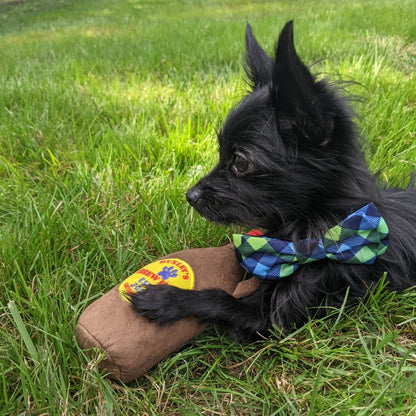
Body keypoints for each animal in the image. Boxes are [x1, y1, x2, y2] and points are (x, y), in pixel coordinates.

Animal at [131, 22, 416, 338]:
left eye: (241, 162)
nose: (189, 196)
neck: (311, 231)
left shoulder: (274, 319)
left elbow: (221, 299)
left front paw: (167, 299)